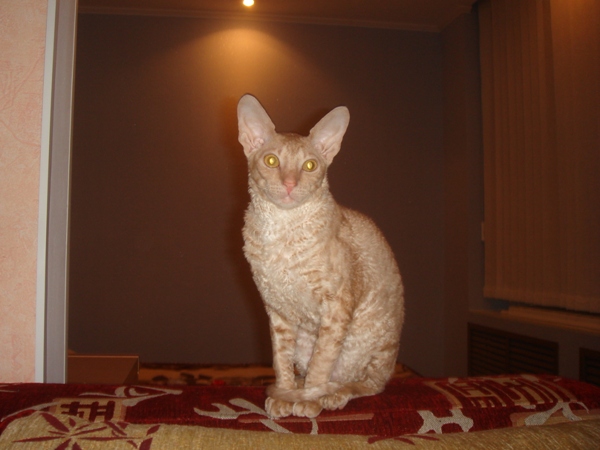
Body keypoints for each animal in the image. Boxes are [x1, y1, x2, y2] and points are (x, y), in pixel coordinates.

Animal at [238, 94, 404, 419]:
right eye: (271, 160)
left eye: (310, 165)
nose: (290, 184)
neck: (279, 232)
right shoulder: (277, 308)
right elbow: (280, 358)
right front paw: (287, 392)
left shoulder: (337, 305)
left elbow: (323, 361)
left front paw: (309, 399)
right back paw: (297, 388)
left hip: (371, 340)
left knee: (368, 383)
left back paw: (334, 394)